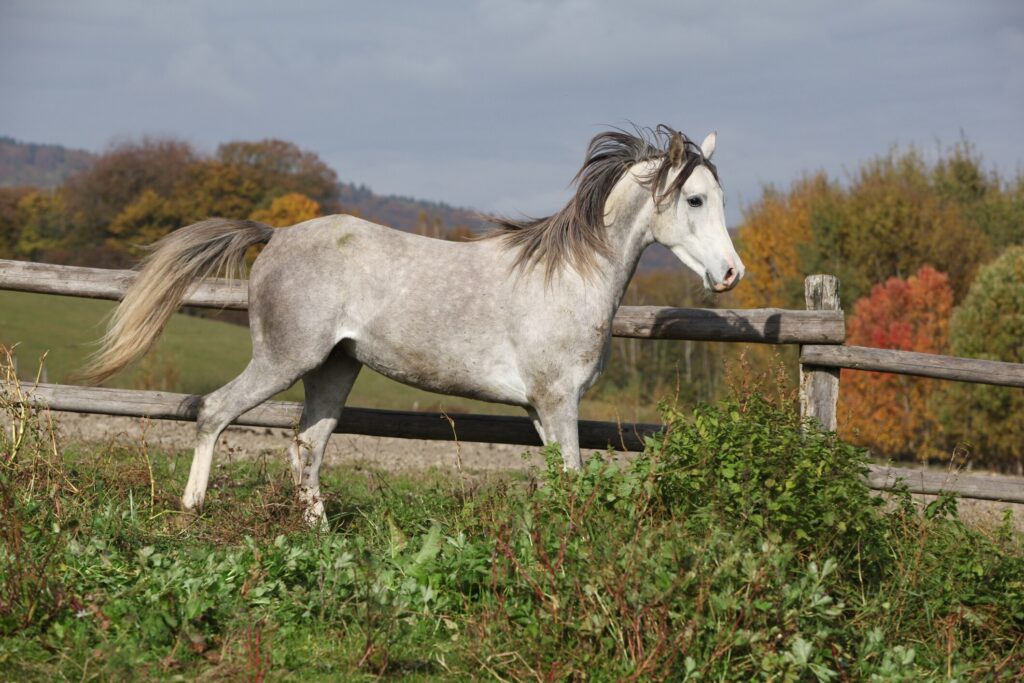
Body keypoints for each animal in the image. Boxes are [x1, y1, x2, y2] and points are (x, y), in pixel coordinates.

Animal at [79, 125, 744, 525]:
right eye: (694, 200)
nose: (731, 273)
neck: (570, 278)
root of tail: (275, 235)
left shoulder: (540, 408)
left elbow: (561, 477)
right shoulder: (558, 401)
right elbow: (574, 477)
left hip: (333, 370)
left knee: (306, 445)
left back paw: (321, 536)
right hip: (283, 360)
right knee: (214, 412)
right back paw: (191, 508)